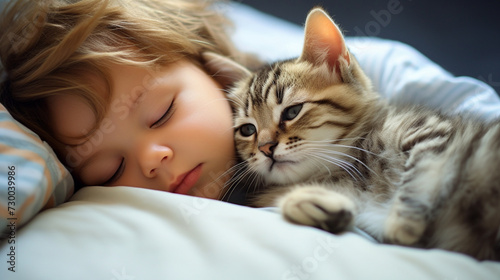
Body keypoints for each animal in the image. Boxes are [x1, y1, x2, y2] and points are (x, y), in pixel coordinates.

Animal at [203, 7, 500, 260]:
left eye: (292, 112)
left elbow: (418, 177)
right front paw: (315, 203)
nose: (265, 148)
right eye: (247, 129)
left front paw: (402, 223)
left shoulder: (429, 132)